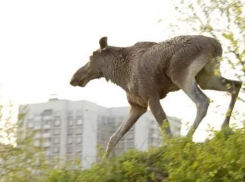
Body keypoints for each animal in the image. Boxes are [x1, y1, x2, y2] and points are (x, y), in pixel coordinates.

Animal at [70, 35, 242, 158]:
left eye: (91, 57)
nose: (74, 78)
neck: (120, 75)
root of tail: (215, 45)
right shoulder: (137, 106)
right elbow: (114, 137)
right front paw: (102, 164)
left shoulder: (151, 96)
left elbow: (166, 130)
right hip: (206, 77)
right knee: (236, 84)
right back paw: (225, 127)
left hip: (180, 75)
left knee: (203, 101)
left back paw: (187, 139)